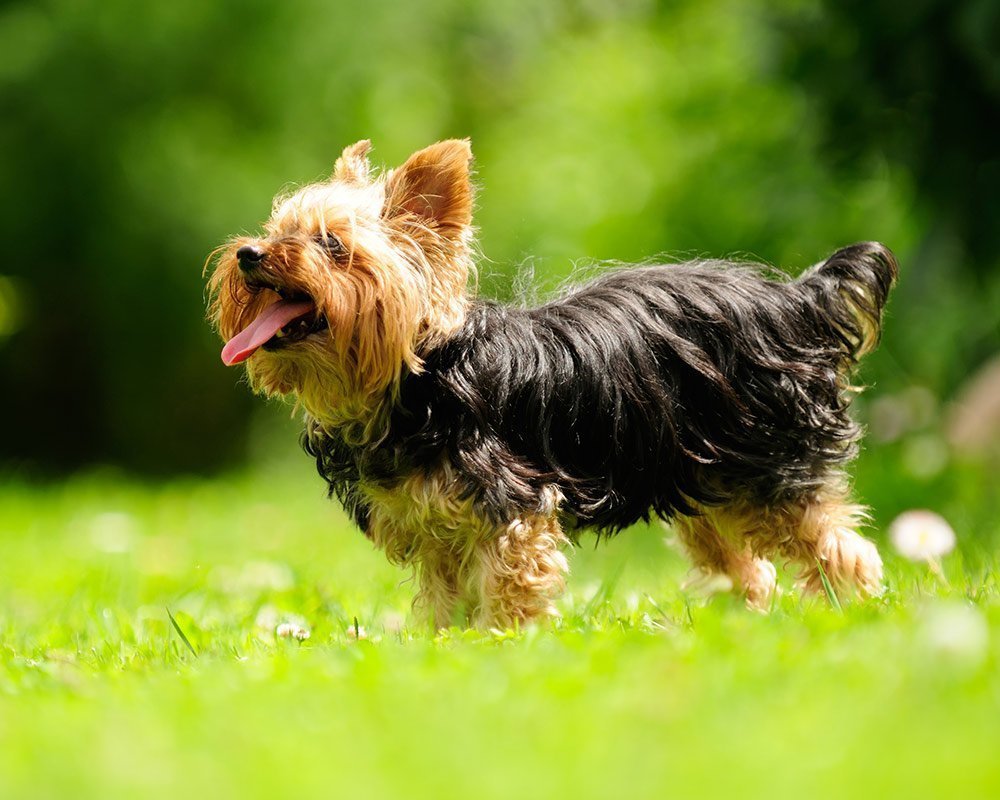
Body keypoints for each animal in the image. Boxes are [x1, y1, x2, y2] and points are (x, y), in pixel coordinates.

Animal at [207, 138, 896, 628]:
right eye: (276, 231)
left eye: (331, 245)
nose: (249, 254)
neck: (414, 379)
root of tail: (796, 299)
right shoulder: (436, 532)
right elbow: (443, 604)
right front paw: (440, 650)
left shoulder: (513, 508)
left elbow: (510, 590)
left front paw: (502, 646)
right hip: (701, 478)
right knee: (746, 570)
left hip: (771, 466)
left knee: (843, 550)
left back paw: (855, 616)